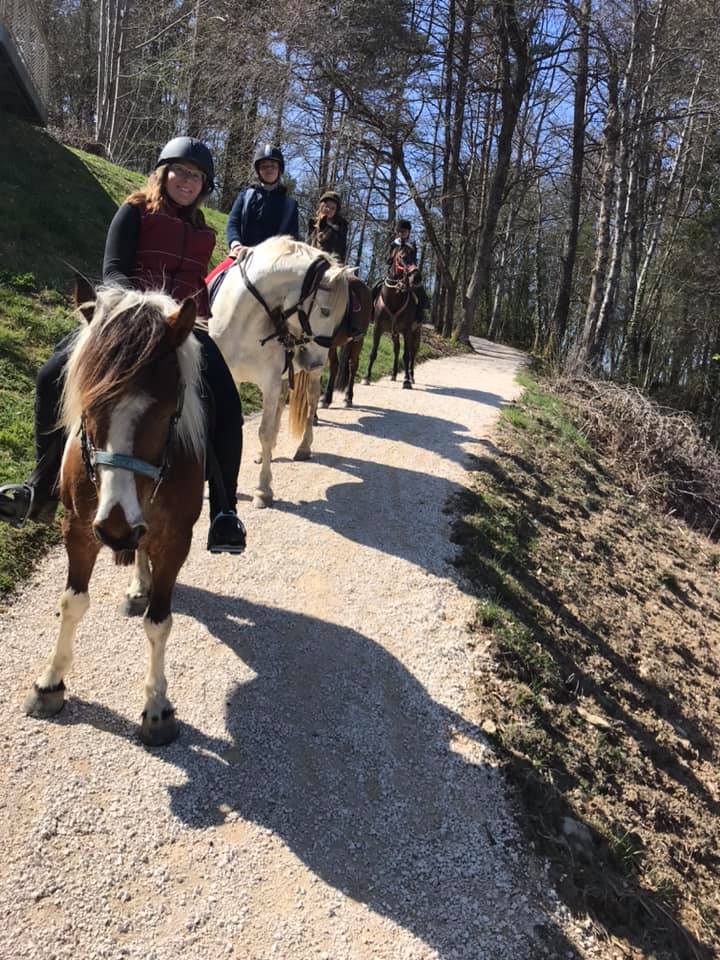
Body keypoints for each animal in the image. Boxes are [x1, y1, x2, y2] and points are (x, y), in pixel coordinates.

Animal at [23, 279, 206, 747]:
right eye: (88, 405)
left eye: (167, 412)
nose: (117, 528)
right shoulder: (78, 529)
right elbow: (71, 602)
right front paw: (50, 683)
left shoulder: (176, 540)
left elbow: (159, 622)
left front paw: (157, 708)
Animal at [209, 236, 353, 509]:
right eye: (325, 311)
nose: (316, 361)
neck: (243, 321)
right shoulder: (228, 376)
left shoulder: (271, 382)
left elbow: (264, 432)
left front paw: (263, 490)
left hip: (306, 380)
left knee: (310, 401)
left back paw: (304, 448)